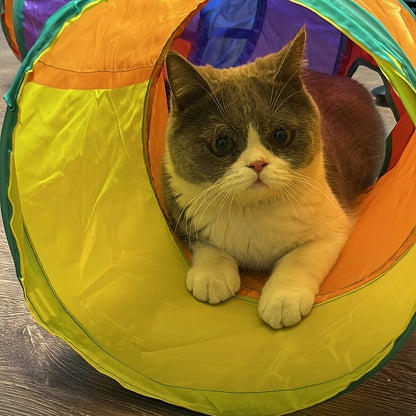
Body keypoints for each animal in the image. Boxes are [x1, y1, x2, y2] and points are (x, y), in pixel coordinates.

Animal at [161, 27, 386, 330]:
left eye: (281, 135)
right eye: (221, 143)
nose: (257, 163)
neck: (253, 210)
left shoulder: (333, 224)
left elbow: (299, 258)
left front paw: (282, 300)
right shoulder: (181, 206)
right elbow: (205, 242)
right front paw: (212, 275)